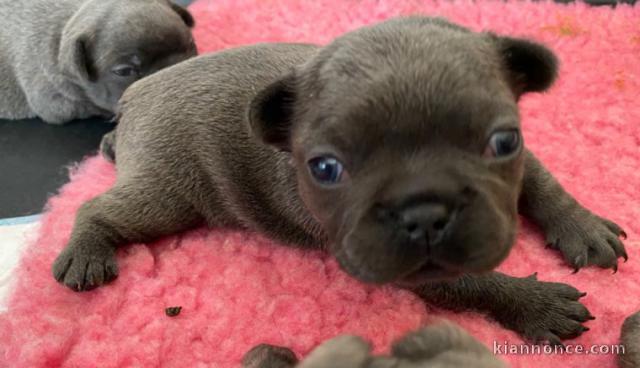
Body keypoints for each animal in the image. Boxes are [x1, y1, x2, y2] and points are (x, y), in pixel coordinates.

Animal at [52, 16, 628, 344]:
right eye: (327, 169)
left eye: (502, 141)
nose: (424, 210)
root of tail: (137, 94)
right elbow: (476, 282)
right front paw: (534, 303)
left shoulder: (519, 159)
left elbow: (543, 185)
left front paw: (583, 227)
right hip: (167, 190)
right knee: (100, 208)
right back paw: (85, 252)